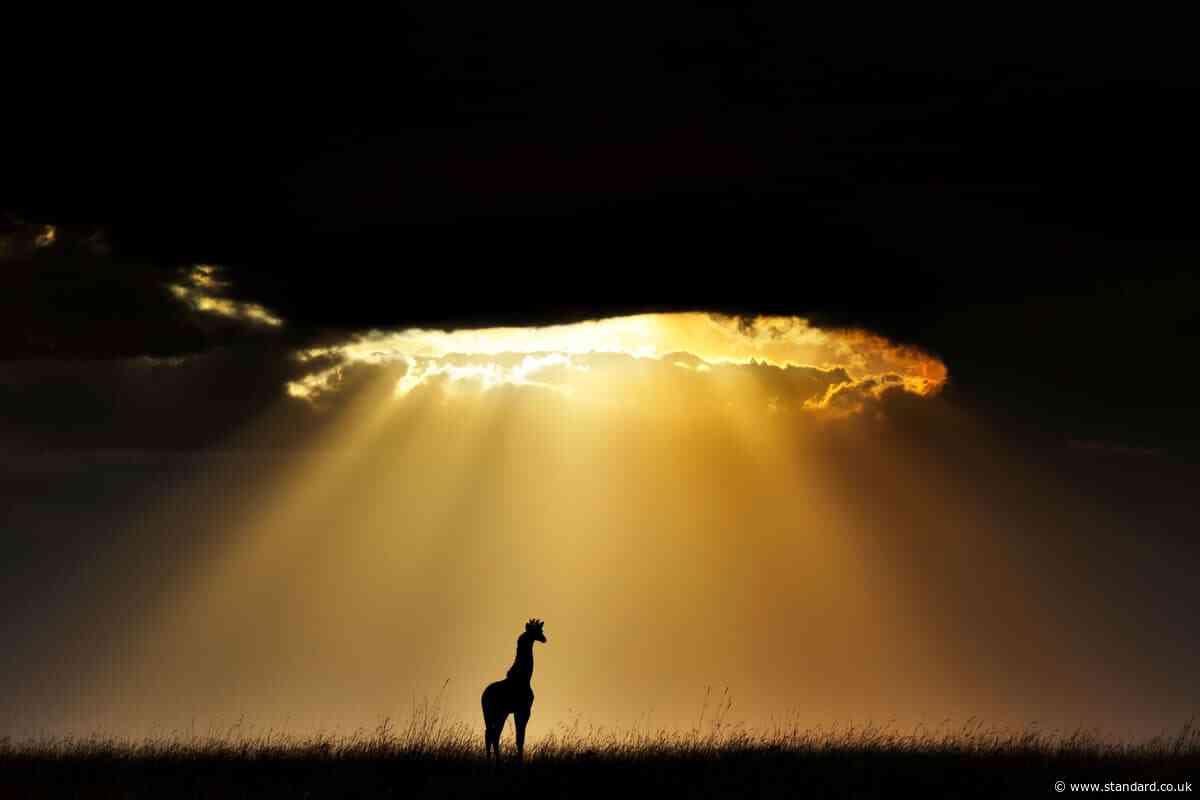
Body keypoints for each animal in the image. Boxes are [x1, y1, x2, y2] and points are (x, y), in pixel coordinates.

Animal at [481, 618, 546, 762]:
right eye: (535, 631)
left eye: (541, 630)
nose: (545, 639)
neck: (524, 677)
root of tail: (483, 696)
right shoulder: (525, 709)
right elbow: (520, 738)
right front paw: (519, 760)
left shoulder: (516, 711)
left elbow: (519, 737)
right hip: (498, 712)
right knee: (493, 734)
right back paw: (496, 760)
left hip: (491, 713)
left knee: (490, 733)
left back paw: (491, 760)